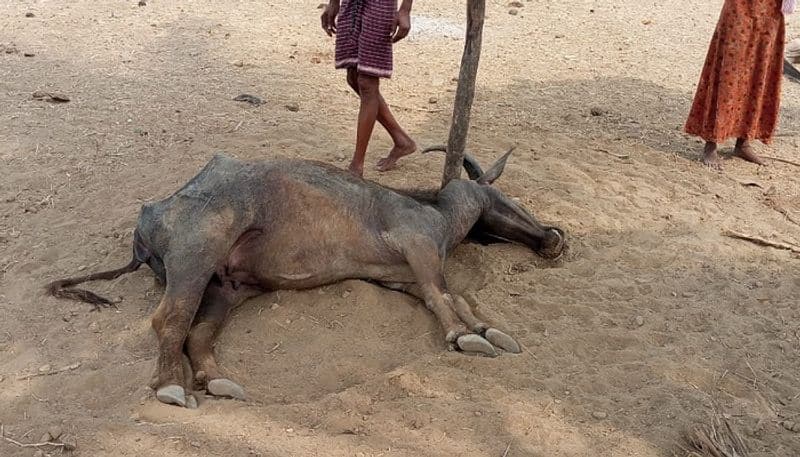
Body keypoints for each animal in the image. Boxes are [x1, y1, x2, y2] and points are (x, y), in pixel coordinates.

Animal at [47, 149, 564, 406]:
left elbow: (452, 297)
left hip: (226, 288)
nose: (555, 237)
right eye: (505, 198)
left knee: (198, 334)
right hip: (196, 258)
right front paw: (466, 336)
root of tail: (152, 213)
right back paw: (172, 388)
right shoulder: (416, 247)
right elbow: (444, 297)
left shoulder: (406, 278)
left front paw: (487, 330)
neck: (435, 210)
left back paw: (218, 382)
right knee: (168, 321)